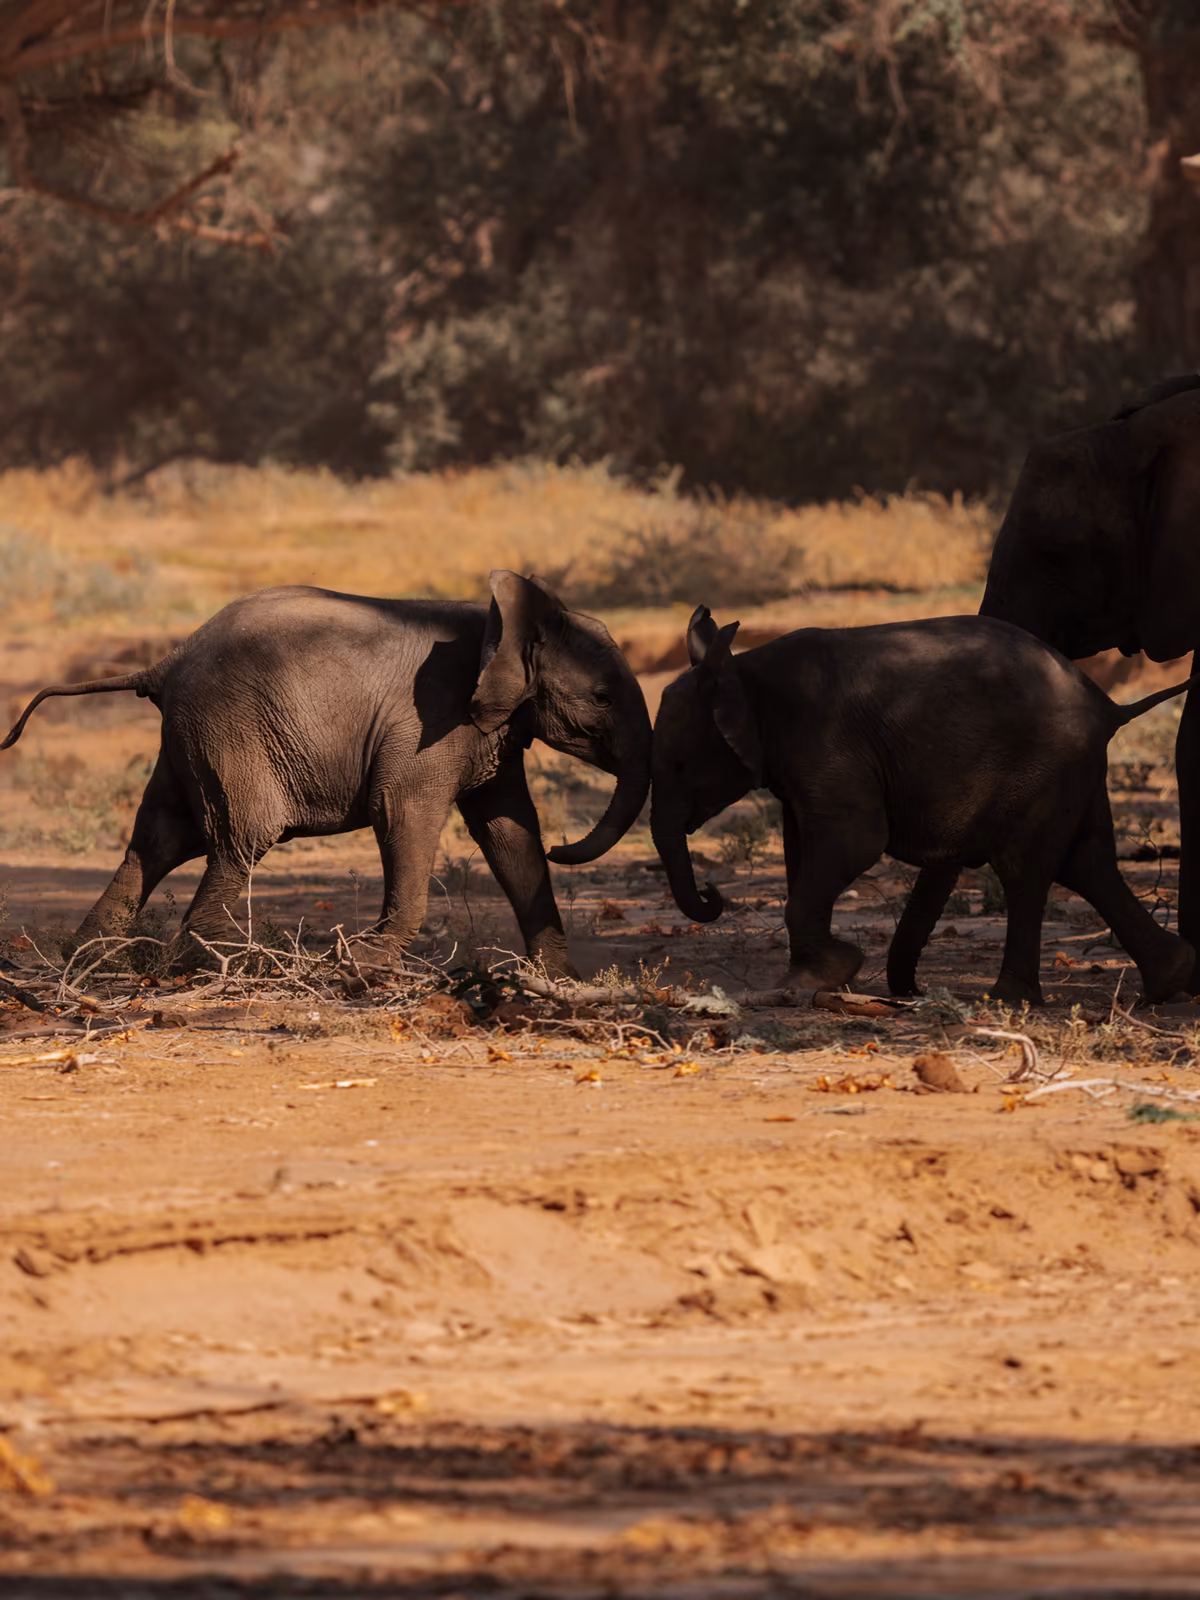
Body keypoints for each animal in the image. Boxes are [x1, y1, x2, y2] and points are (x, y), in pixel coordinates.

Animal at [2, 572, 650, 973]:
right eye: (602, 697)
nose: (570, 845)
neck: (505, 621)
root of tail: (167, 660)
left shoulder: (490, 728)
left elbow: (510, 831)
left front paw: (562, 981)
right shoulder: (434, 718)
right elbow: (403, 811)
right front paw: (362, 965)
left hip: (192, 736)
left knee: (158, 839)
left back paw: (92, 959)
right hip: (229, 728)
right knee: (240, 837)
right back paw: (212, 966)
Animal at [651, 606, 1196, 1006]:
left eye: (679, 764)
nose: (712, 893)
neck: (742, 668)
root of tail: (1107, 704)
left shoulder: (826, 743)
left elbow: (855, 840)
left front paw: (825, 976)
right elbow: (801, 849)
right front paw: (813, 979)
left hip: (1045, 762)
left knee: (1025, 869)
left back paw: (1005, 1000)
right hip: (1073, 768)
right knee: (1087, 863)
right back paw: (1169, 983)